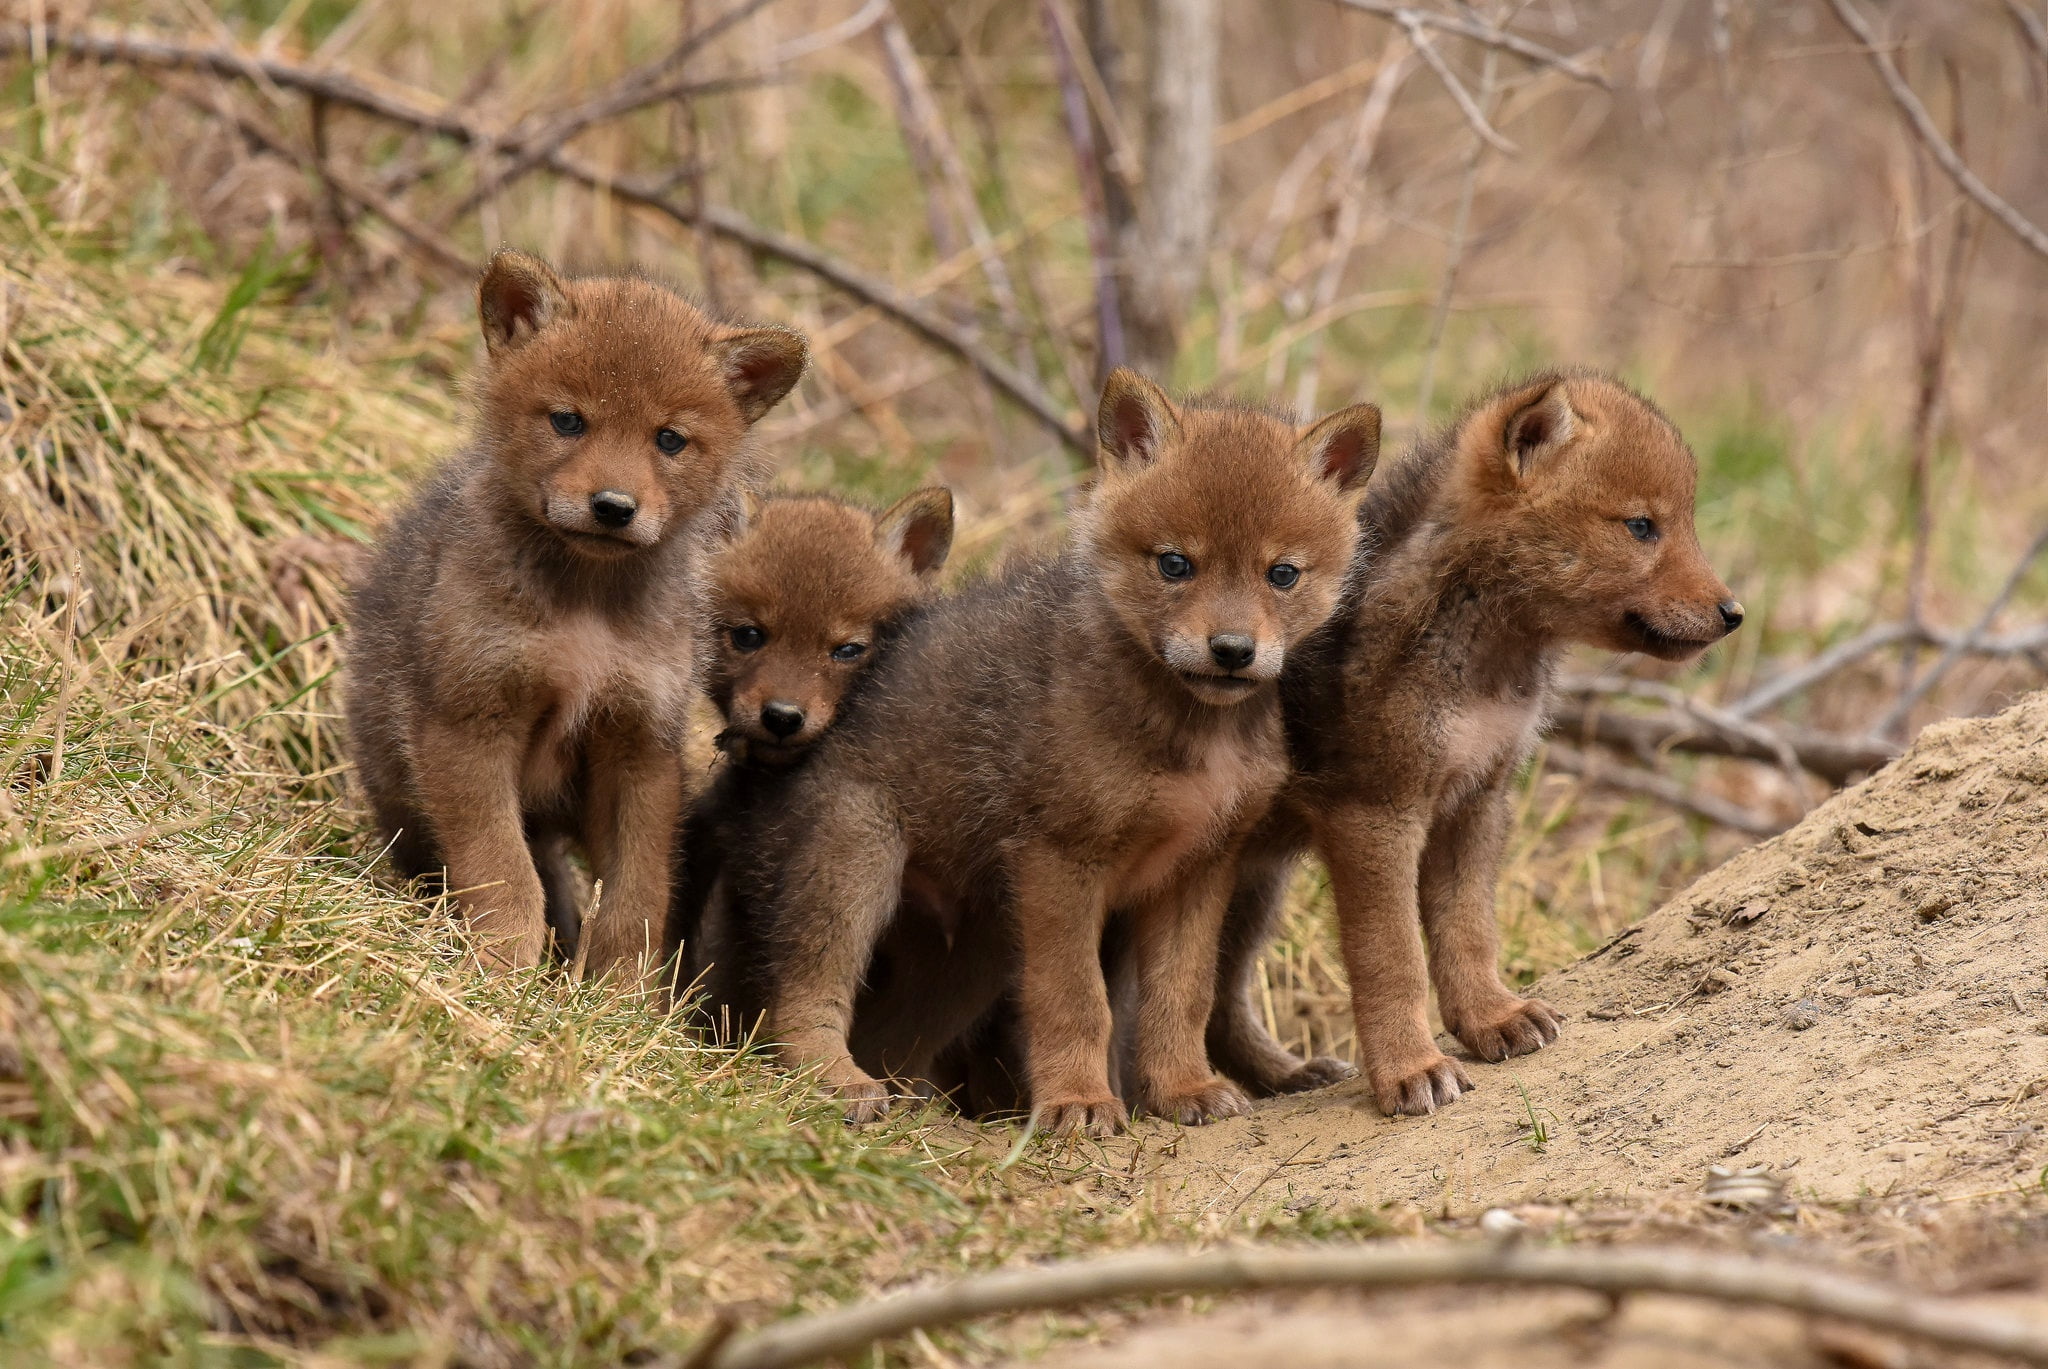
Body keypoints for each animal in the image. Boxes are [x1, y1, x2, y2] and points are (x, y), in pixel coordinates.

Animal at [345, 249, 806, 985]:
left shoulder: (639, 742)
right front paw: (502, 964)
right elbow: (501, 870)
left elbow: (637, 895)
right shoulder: (469, 720)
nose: (613, 506)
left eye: (669, 439)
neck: (584, 614)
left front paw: (617, 991)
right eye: (567, 421)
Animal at [729, 369, 1379, 1136]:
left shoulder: (1197, 870)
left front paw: (1183, 1089)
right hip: (854, 866)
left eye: (1282, 574)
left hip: (967, 955)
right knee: (801, 995)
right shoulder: (1060, 861)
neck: (1193, 741)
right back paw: (836, 1083)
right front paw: (1079, 1103)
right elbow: (1076, 1000)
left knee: (890, 1039)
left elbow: (1179, 997)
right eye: (1175, 564)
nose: (1231, 651)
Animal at [1203, 371, 1742, 1115]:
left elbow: (1468, 931)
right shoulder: (1376, 816)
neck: (1485, 654)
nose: (1734, 613)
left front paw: (1491, 1018)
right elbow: (1393, 959)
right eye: (1642, 526)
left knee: (1220, 1001)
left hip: (1253, 886)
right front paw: (1410, 1069)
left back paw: (1287, 1076)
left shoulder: (1475, 800)